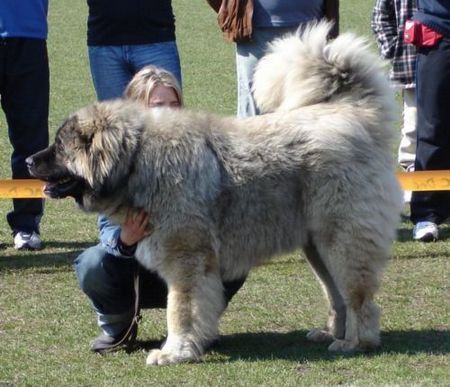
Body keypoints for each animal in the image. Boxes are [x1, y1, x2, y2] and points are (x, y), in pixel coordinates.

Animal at [28, 22, 400, 366]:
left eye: (59, 147)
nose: (30, 161)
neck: (136, 160)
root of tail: (353, 112)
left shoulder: (187, 261)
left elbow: (179, 310)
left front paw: (174, 352)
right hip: (317, 246)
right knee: (337, 295)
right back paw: (332, 334)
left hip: (342, 241)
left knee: (359, 298)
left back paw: (357, 343)